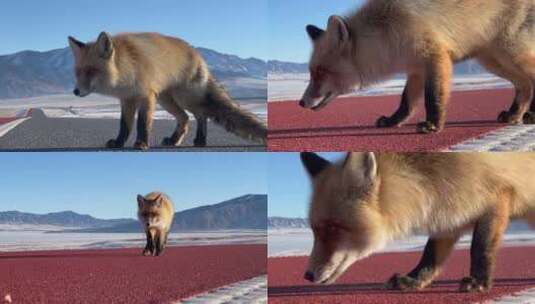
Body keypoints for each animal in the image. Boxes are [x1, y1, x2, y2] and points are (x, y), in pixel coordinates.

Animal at [68, 31, 266, 150]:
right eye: (77, 72)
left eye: (91, 71)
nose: (75, 91)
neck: (127, 68)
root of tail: (199, 57)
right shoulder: (127, 99)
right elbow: (124, 125)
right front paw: (118, 142)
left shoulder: (146, 96)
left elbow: (142, 124)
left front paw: (141, 143)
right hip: (166, 101)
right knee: (185, 118)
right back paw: (174, 140)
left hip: (185, 98)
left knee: (201, 115)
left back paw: (200, 141)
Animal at [302, 0, 535, 133]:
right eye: (311, 72)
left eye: (320, 72)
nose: (301, 103)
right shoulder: (415, 68)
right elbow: (406, 101)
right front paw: (393, 121)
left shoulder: (435, 56)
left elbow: (433, 97)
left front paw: (433, 125)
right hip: (494, 61)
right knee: (524, 85)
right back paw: (515, 115)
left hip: (509, 54)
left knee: (530, 80)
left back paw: (527, 115)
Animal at [302, 152, 535, 292]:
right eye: (314, 230)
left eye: (332, 227)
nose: (307, 275)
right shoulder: (450, 212)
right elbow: (430, 254)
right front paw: (414, 280)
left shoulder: (497, 196)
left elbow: (480, 247)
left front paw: (478, 282)